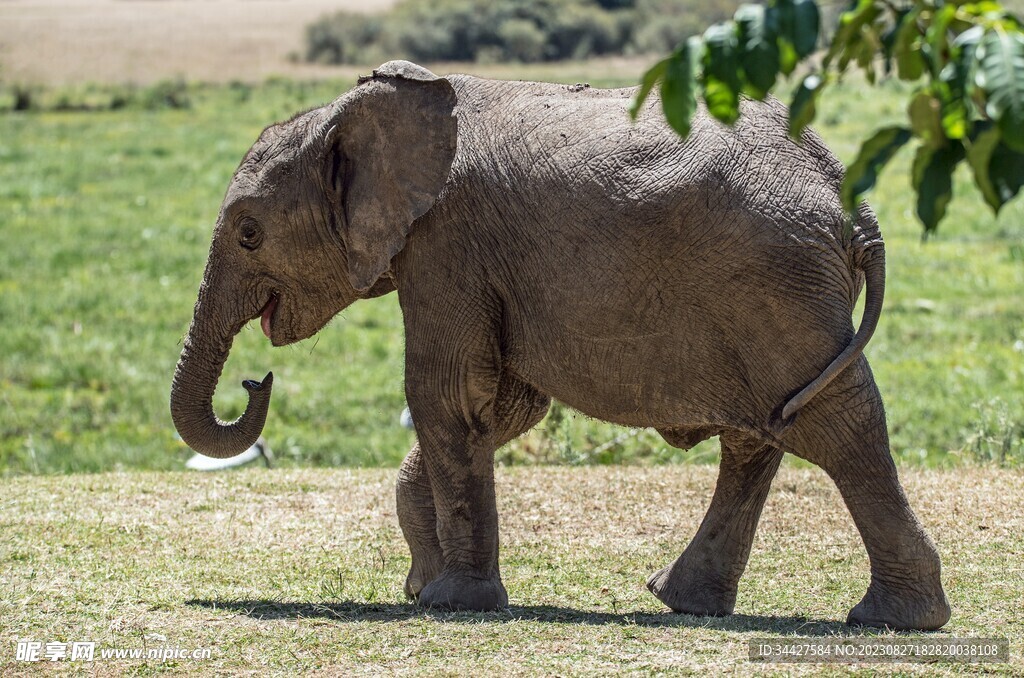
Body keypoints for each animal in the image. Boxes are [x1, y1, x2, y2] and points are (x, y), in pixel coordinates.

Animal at [170, 60, 950, 631]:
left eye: (247, 232)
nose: (255, 382)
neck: (355, 113)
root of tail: (850, 200)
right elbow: (503, 405)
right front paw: (423, 586)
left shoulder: (448, 244)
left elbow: (446, 393)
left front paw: (452, 601)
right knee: (764, 430)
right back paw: (684, 601)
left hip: (776, 286)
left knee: (835, 425)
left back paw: (894, 619)